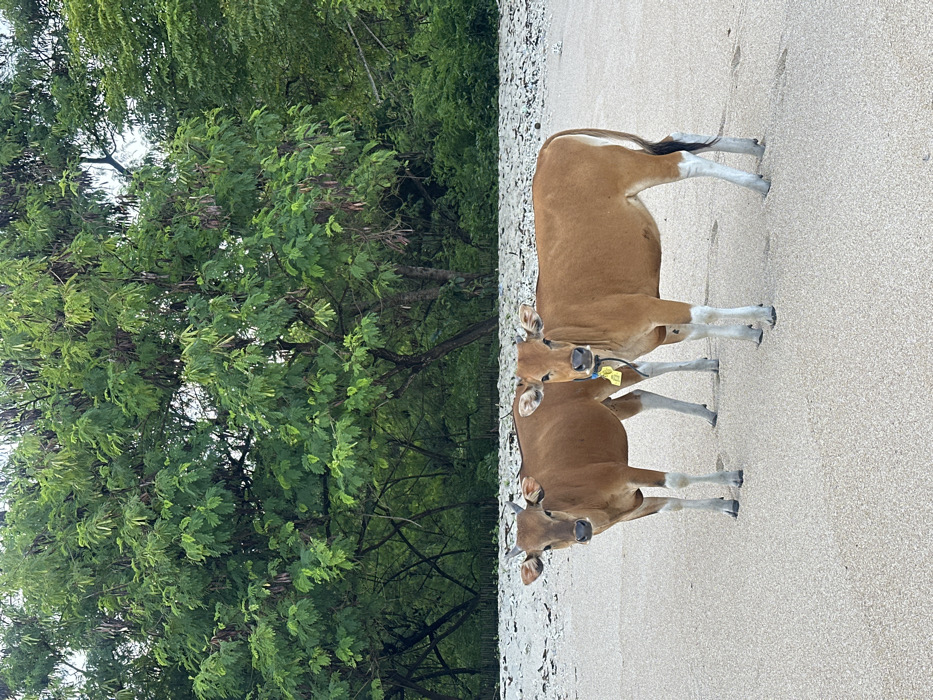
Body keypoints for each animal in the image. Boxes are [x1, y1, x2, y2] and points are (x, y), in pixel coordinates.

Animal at [506, 370, 742, 585]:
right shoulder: (634, 507)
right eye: (546, 547)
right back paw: (708, 414)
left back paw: (713, 365)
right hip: (608, 405)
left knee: (643, 371)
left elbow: (676, 481)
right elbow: (674, 504)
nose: (581, 530)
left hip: (600, 383)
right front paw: (726, 505)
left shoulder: (622, 473)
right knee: (640, 395)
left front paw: (731, 478)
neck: (590, 505)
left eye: (548, 512)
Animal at [515, 129, 776, 417]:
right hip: (632, 160)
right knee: (676, 140)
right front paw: (748, 333)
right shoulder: (659, 329)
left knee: (683, 160)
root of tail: (545, 152)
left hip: (632, 167)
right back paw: (753, 151)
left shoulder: (647, 309)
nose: (578, 359)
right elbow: (699, 329)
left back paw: (758, 184)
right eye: (545, 376)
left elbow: (704, 313)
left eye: (547, 342)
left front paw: (762, 314)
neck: (586, 331)